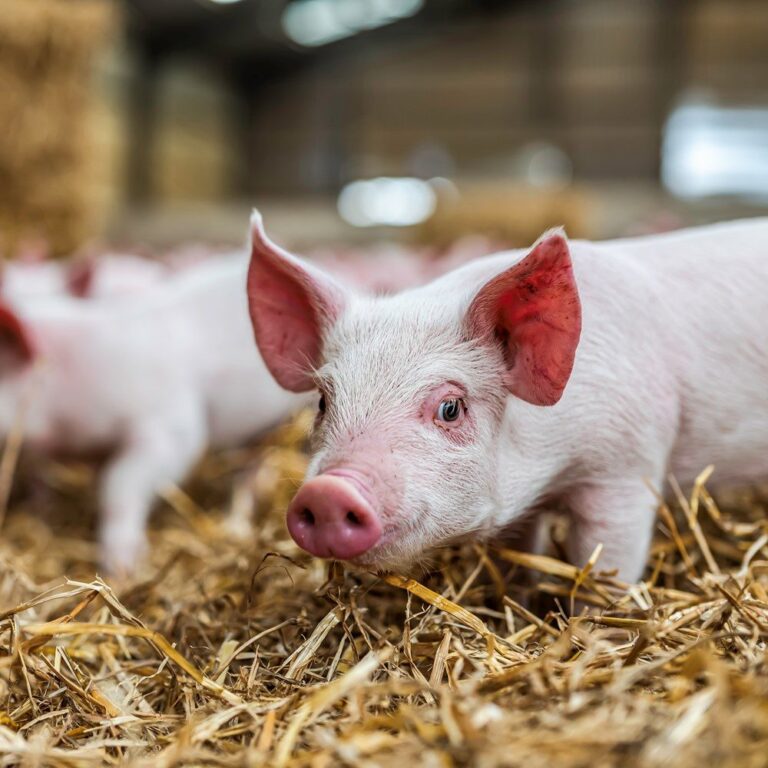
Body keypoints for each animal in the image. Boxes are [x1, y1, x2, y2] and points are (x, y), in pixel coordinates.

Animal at [247, 213, 768, 583]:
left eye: (450, 408)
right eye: (323, 401)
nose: (326, 492)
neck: (550, 465)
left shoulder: (626, 466)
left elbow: (606, 565)